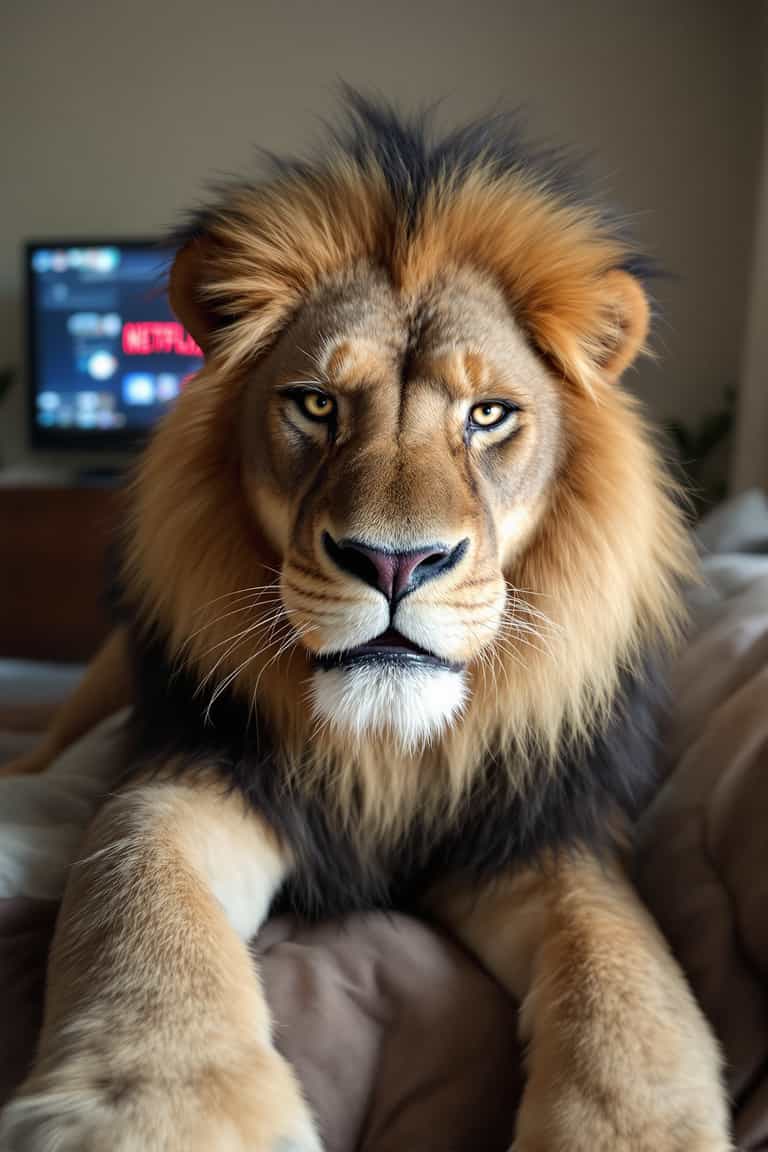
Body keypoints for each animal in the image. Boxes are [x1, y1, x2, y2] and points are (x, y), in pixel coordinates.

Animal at [0, 96, 730, 1151]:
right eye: (315, 404)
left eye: (488, 415)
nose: (394, 563)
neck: (389, 754)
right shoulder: (199, 772)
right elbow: (133, 889)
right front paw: (167, 1107)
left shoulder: (537, 835)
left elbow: (632, 974)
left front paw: (633, 1128)